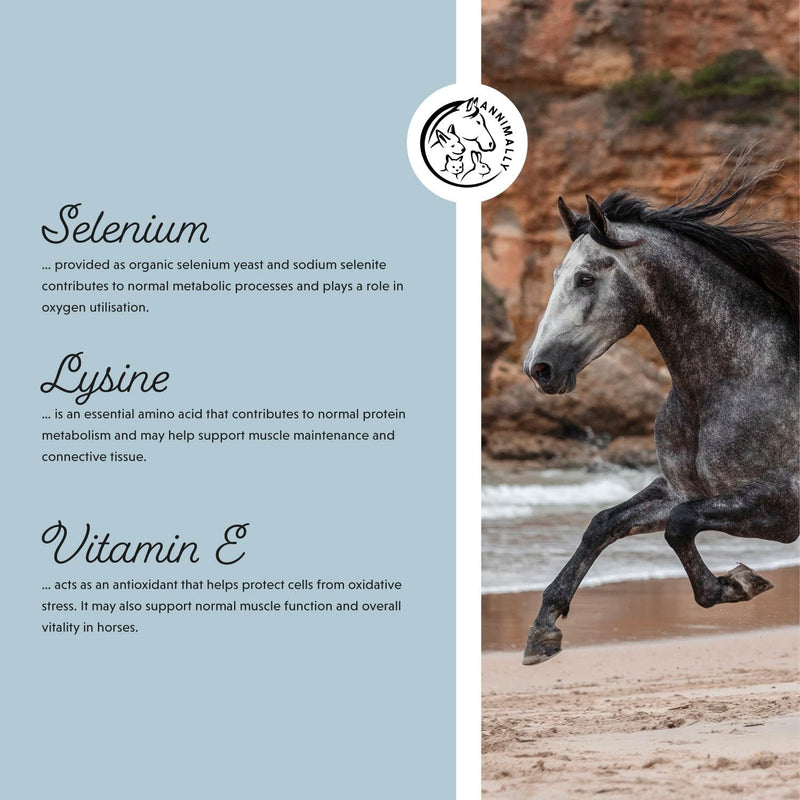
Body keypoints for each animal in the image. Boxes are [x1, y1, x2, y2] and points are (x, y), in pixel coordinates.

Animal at [520, 157, 799, 665]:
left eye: (585, 278)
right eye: (554, 276)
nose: (539, 369)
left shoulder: (785, 505)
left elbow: (679, 526)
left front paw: (740, 583)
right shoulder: (683, 489)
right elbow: (603, 524)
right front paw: (543, 630)